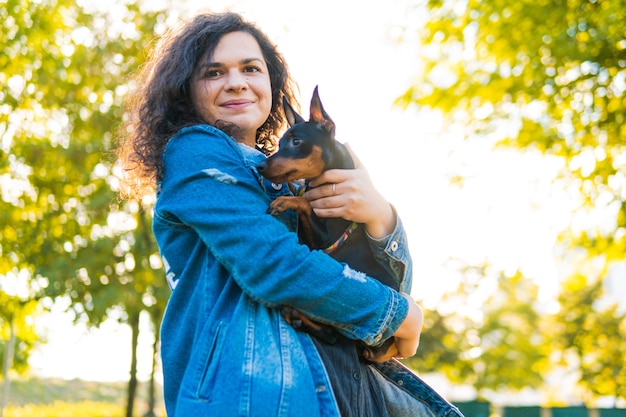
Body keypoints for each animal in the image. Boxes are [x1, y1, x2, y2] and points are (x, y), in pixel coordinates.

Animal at [256, 86, 398, 360]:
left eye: (296, 142)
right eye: (279, 143)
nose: (260, 165)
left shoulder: (324, 238)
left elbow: (304, 203)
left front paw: (286, 201)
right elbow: (301, 195)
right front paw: (294, 190)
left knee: (334, 334)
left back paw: (297, 314)